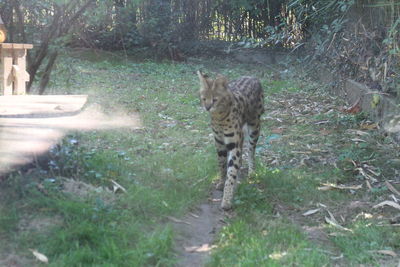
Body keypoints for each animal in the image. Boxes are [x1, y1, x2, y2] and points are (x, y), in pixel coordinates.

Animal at [198, 71, 266, 211]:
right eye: (204, 98)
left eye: (215, 99)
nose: (207, 107)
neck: (219, 117)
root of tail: (252, 76)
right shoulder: (219, 142)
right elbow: (222, 164)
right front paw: (221, 182)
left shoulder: (234, 143)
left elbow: (231, 171)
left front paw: (227, 199)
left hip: (254, 127)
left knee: (251, 150)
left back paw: (251, 171)